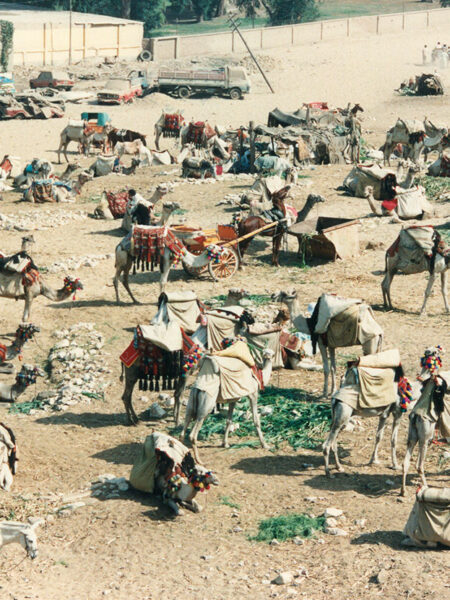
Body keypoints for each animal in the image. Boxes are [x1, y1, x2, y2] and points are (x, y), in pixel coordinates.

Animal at [400, 346, 450, 496]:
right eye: (436, 352)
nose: (442, 350)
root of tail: (415, 418)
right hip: (425, 438)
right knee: (419, 465)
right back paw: (425, 486)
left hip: (412, 437)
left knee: (405, 463)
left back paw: (403, 491)